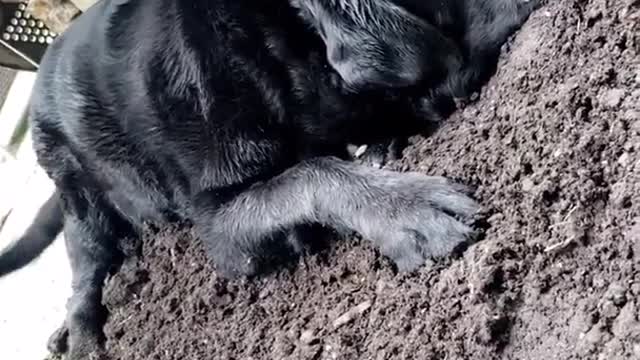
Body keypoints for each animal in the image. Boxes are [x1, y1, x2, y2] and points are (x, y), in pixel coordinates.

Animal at [0, 0, 536, 358]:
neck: (268, 51)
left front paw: (381, 149)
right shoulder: (218, 224)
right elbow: (313, 174)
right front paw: (409, 209)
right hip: (78, 191)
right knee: (83, 276)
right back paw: (81, 336)